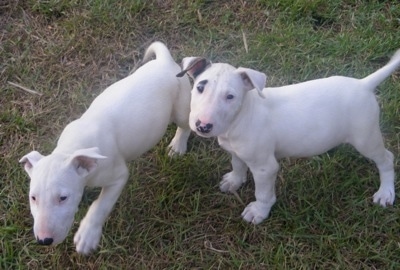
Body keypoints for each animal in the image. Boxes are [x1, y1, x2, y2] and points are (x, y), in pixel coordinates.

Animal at [19, 41, 191, 254]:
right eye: (33, 198)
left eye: (63, 198)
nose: (44, 240)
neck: (72, 148)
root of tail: (165, 61)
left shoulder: (118, 176)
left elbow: (100, 205)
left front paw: (87, 235)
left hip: (182, 106)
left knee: (185, 125)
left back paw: (178, 145)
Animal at [178, 49, 400, 225]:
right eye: (200, 87)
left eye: (230, 97)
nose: (203, 126)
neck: (242, 116)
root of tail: (363, 84)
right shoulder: (237, 151)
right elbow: (238, 165)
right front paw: (234, 181)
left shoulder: (265, 167)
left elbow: (263, 193)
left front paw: (258, 212)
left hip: (366, 137)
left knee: (386, 159)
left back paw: (386, 192)